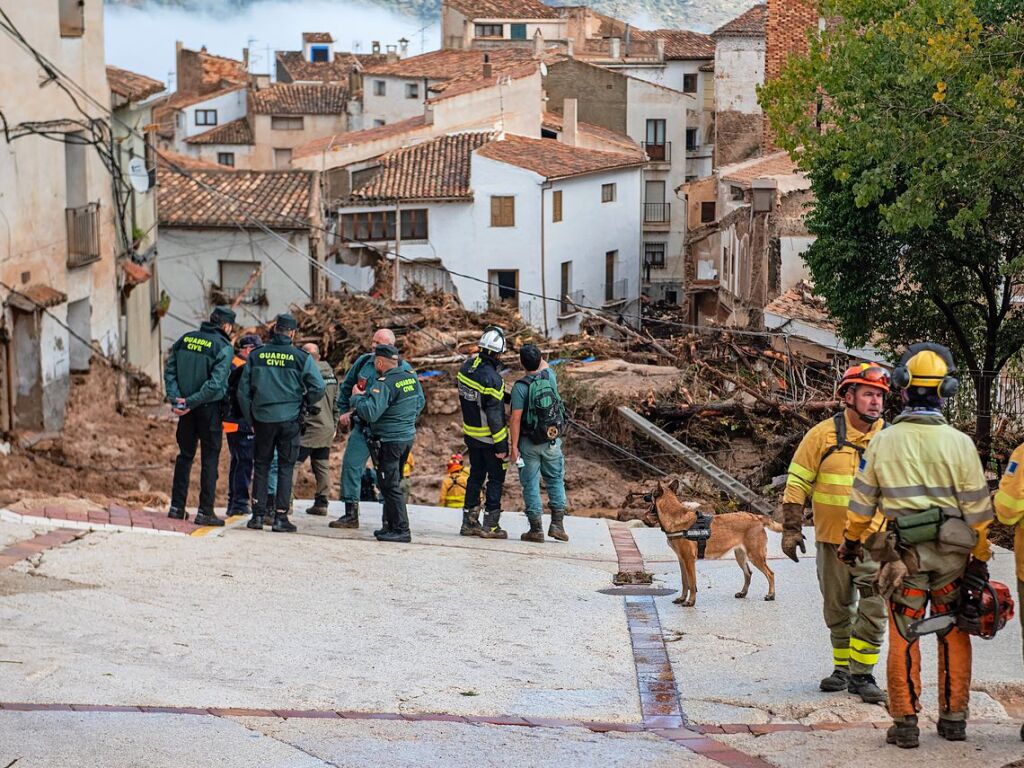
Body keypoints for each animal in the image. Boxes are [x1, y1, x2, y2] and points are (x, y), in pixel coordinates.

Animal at [643, 481, 778, 606]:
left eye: (651, 492)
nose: (643, 496)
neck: (674, 516)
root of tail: (757, 517)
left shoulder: (689, 560)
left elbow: (691, 583)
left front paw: (691, 601)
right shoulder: (682, 560)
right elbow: (684, 582)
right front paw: (682, 598)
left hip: (755, 556)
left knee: (770, 574)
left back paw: (771, 595)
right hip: (740, 556)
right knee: (748, 573)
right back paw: (743, 593)